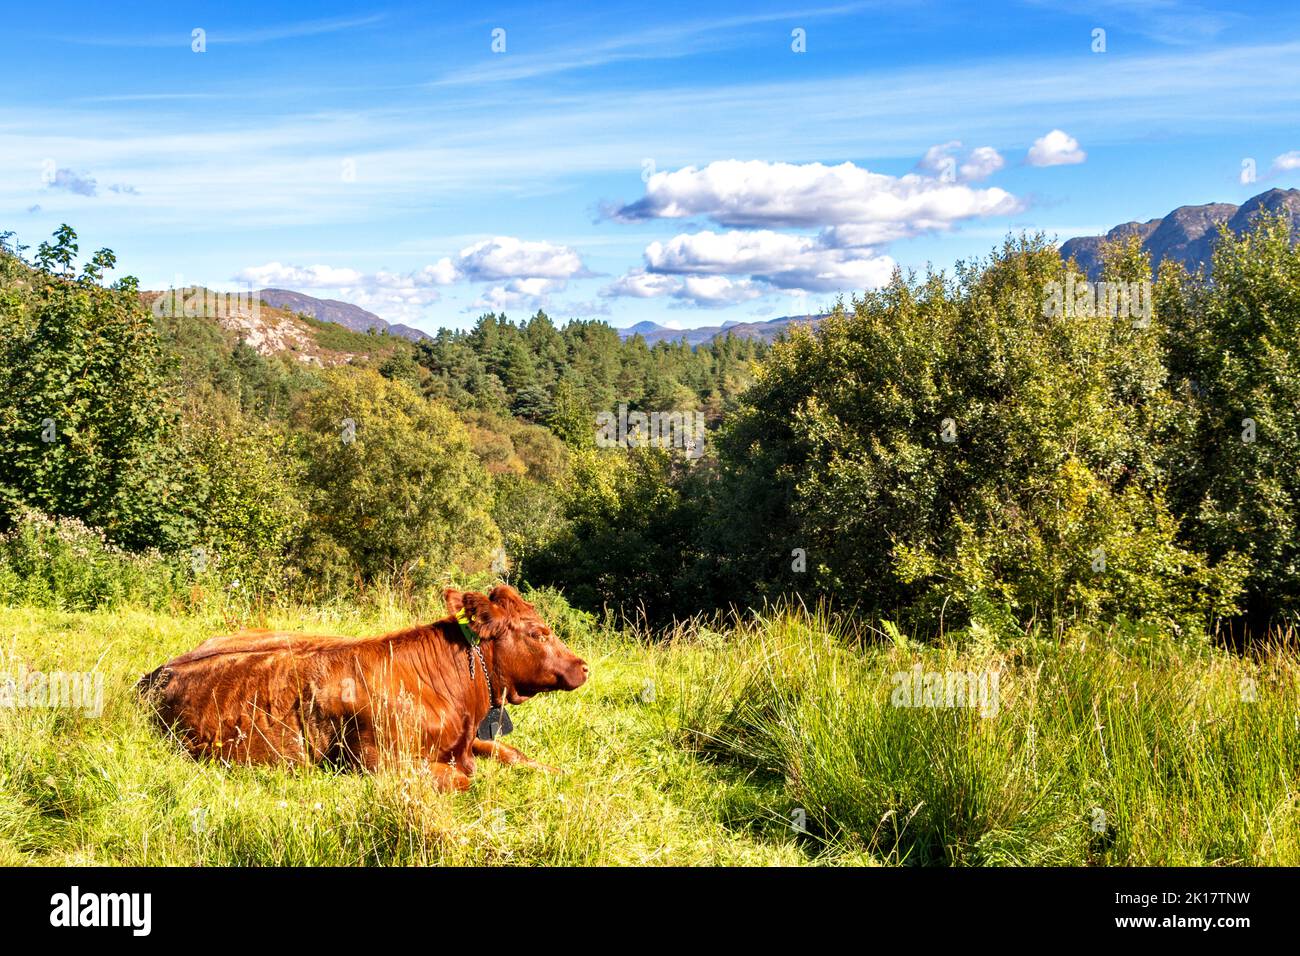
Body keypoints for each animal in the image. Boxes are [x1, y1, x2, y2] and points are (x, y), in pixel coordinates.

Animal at [138, 582, 590, 790]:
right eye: (539, 632)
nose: (583, 666)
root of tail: (160, 670)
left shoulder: (465, 737)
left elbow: (509, 752)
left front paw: (558, 770)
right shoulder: (380, 763)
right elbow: (466, 778)